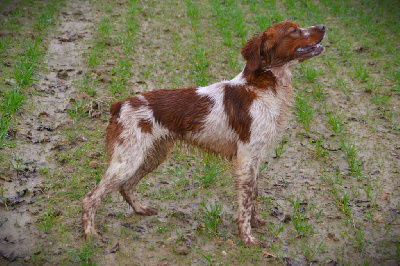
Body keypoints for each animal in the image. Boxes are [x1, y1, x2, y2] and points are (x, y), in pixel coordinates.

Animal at [82, 21, 324, 247]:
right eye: (294, 30)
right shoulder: (246, 158)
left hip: (152, 155)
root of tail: (119, 104)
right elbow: (245, 202)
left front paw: (255, 222)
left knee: (126, 186)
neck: (262, 87)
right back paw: (90, 234)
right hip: (128, 158)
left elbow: (253, 194)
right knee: (90, 197)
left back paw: (140, 209)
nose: (322, 26)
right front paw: (247, 238)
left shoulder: (255, 158)